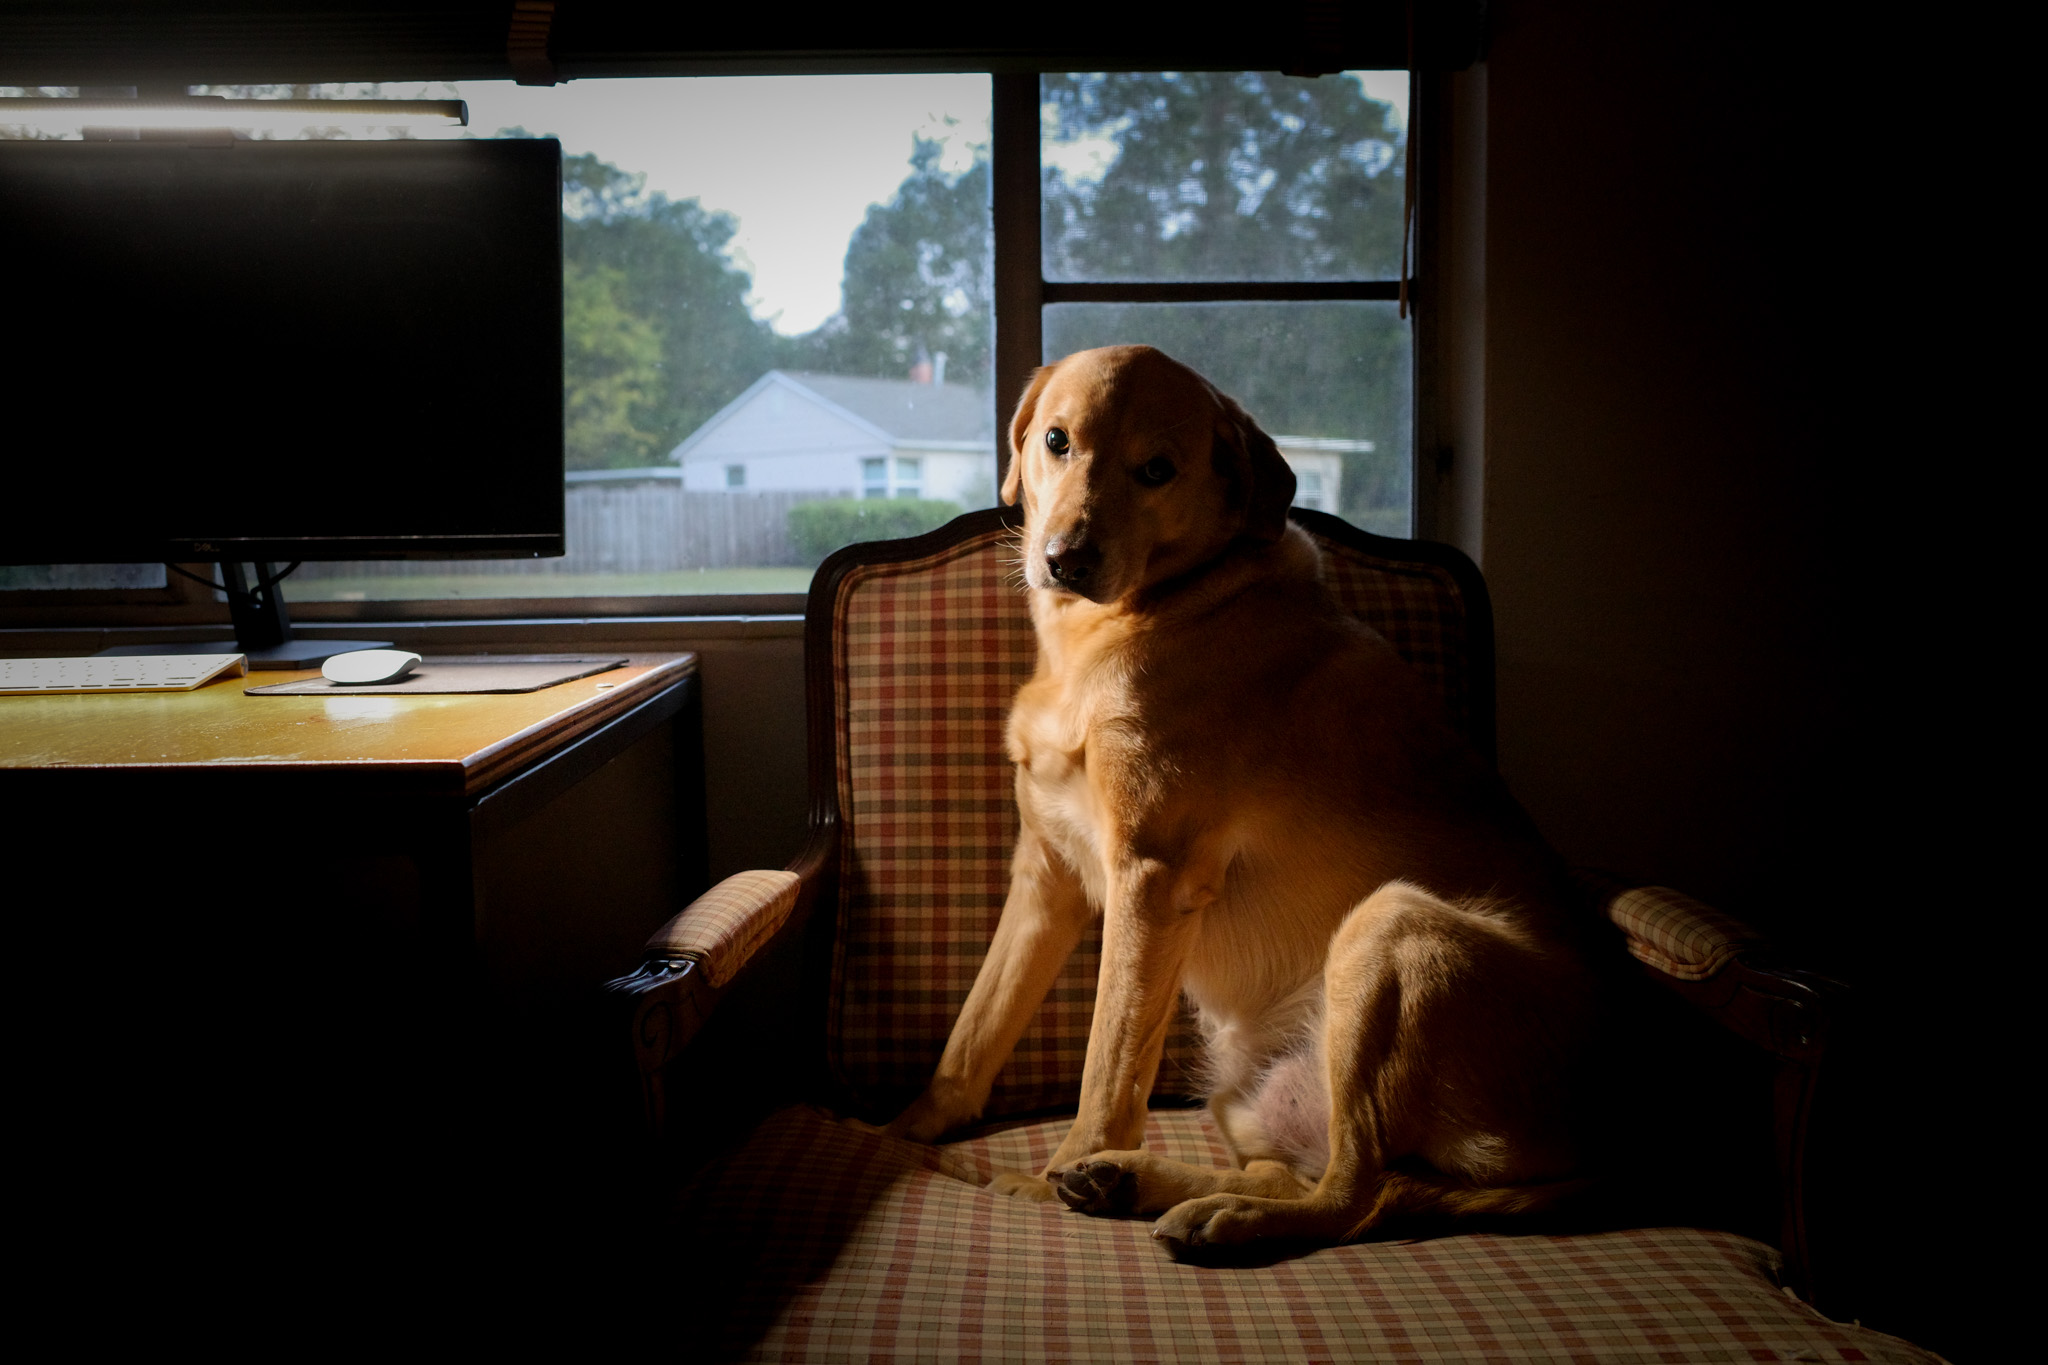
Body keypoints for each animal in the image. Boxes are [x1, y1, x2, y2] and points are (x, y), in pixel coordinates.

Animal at [880, 347, 1597, 1252]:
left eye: (1157, 469)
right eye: (1056, 441)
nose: (1066, 558)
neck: (1136, 618)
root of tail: (1597, 1151)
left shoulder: (1149, 877)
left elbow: (1109, 1063)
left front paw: (1053, 1174)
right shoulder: (1046, 877)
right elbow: (974, 1031)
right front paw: (899, 1133)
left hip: (1390, 928)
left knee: (1357, 1194)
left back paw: (1188, 1205)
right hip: (1252, 1094)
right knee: (1301, 1172)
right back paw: (1138, 1183)